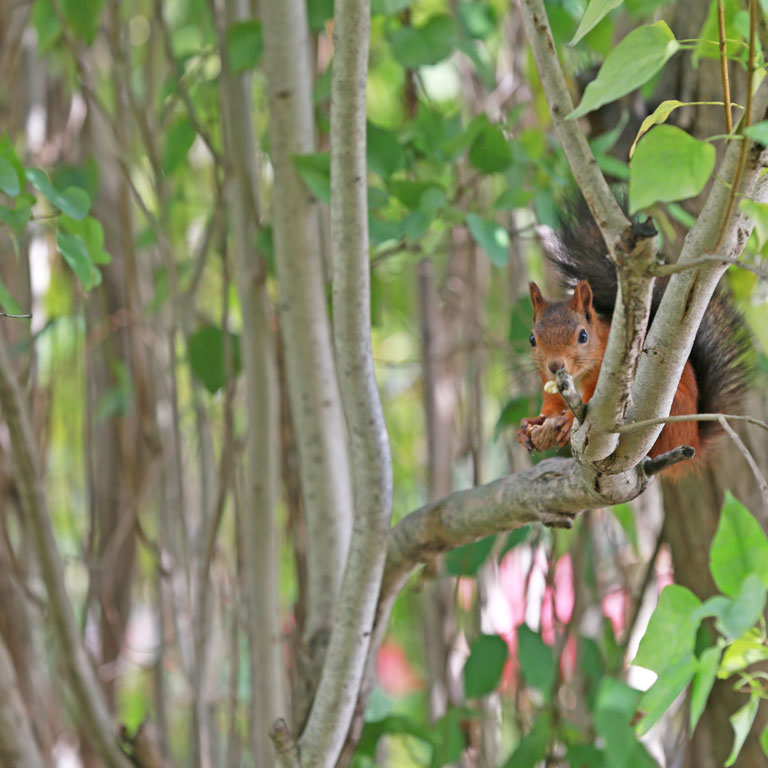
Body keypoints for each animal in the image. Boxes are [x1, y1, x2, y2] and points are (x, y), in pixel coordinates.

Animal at [516, 192, 752, 476]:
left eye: (583, 336)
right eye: (532, 339)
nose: (555, 365)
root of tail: (693, 437)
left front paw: (568, 420)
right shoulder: (548, 383)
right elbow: (551, 405)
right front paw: (529, 425)